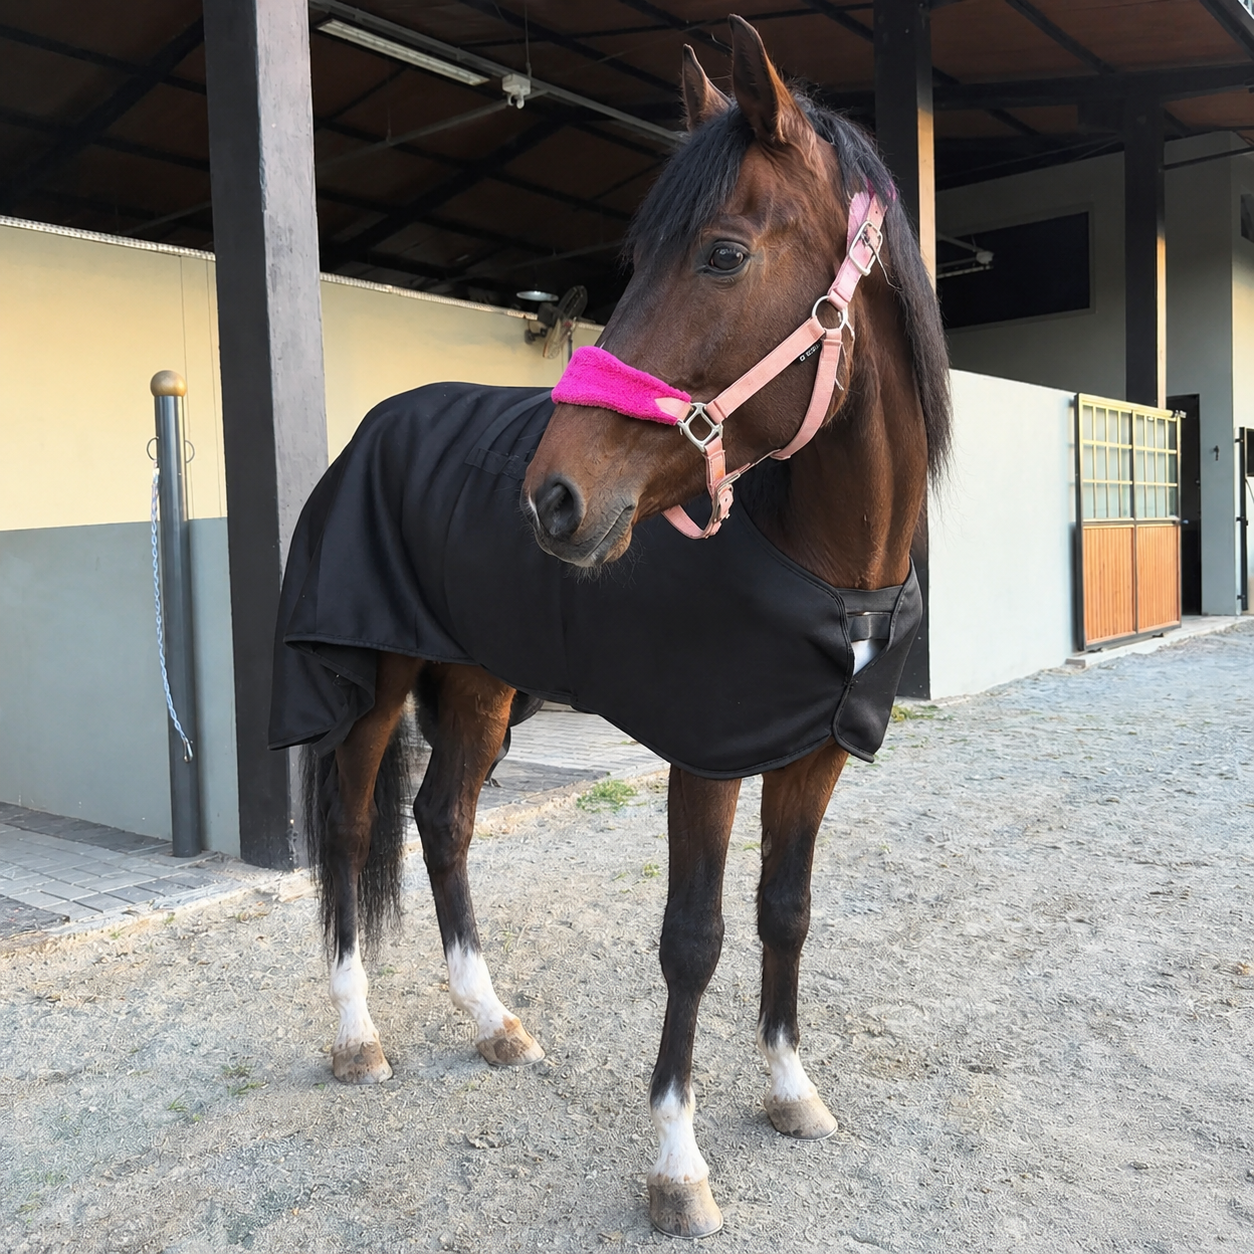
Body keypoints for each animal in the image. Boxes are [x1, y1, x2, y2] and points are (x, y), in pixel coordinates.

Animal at [270, 15, 949, 1239]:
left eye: (722, 254)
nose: (551, 498)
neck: (820, 557)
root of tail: (375, 427)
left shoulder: (812, 757)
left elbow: (786, 913)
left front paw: (790, 1090)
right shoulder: (706, 758)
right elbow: (694, 941)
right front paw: (678, 1163)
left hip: (482, 684)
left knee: (442, 822)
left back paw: (491, 1021)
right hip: (380, 684)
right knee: (348, 833)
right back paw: (356, 1035)